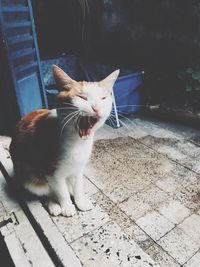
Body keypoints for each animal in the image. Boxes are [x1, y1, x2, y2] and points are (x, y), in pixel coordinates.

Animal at [9, 65, 119, 218]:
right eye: (81, 97)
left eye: (103, 98)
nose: (96, 108)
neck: (77, 142)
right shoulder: (52, 172)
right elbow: (61, 192)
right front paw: (67, 206)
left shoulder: (78, 168)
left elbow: (78, 186)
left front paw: (80, 201)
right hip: (29, 178)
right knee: (47, 191)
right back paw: (54, 205)